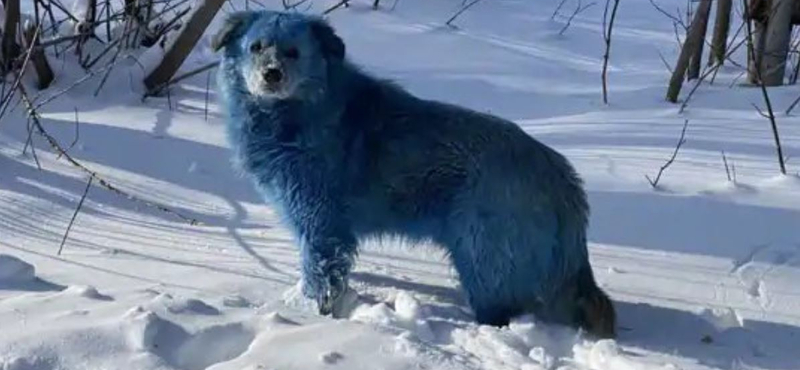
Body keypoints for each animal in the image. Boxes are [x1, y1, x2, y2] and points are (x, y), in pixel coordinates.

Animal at [211, 10, 612, 338]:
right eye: (256, 47)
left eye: (293, 52)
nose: (271, 75)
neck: (300, 111)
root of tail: (561, 177)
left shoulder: (322, 225)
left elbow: (321, 276)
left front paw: (311, 317)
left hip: (482, 258)